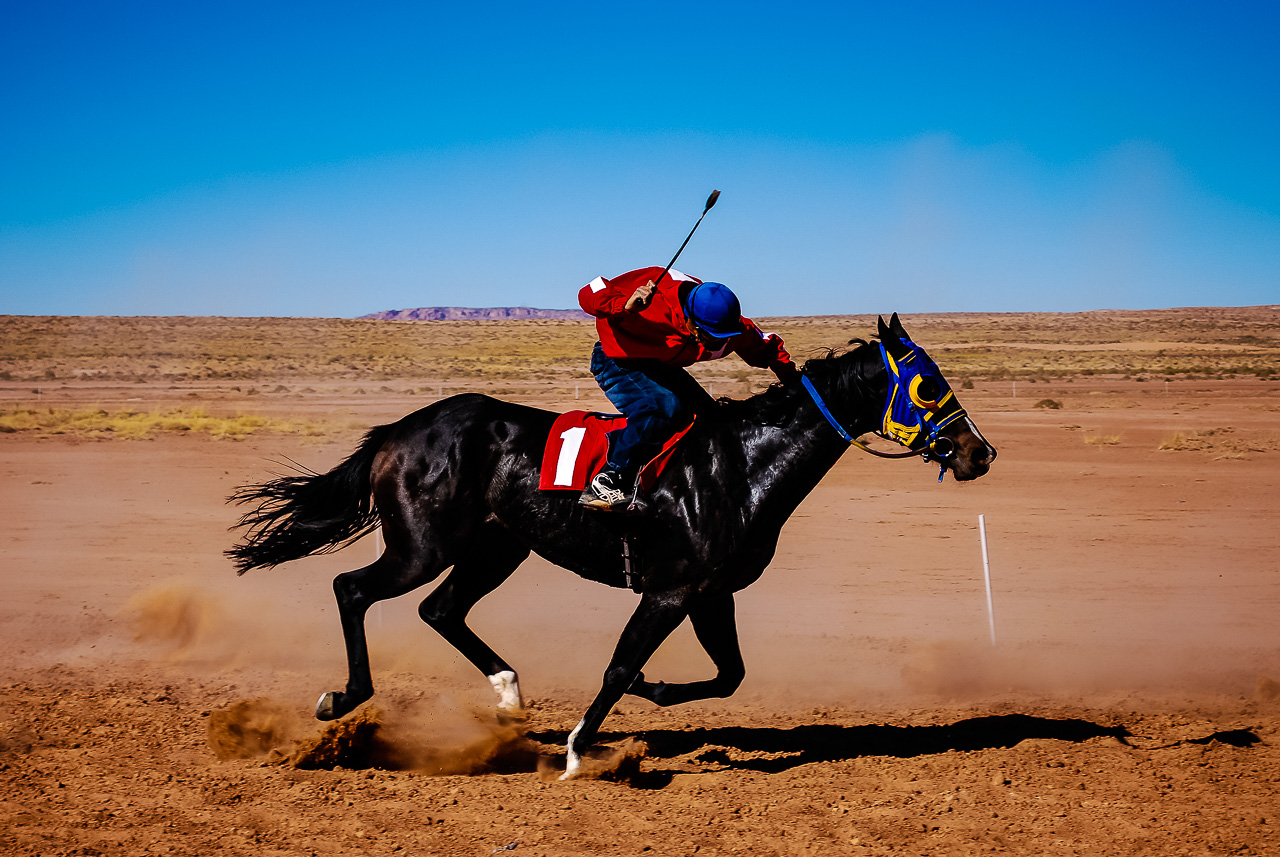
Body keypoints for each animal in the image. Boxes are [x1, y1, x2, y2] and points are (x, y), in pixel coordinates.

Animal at [225, 315, 993, 777]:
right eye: (928, 384)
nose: (977, 452)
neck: (743, 466)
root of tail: (399, 429)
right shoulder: (671, 590)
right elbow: (621, 664)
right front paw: (576, 751)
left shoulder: (711, 593)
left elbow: (729, 674)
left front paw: (655, 691)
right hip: (423, 544)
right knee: (354, 588)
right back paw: (342, 698)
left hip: (496, 549)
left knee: (440, 610)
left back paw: (509, 694)